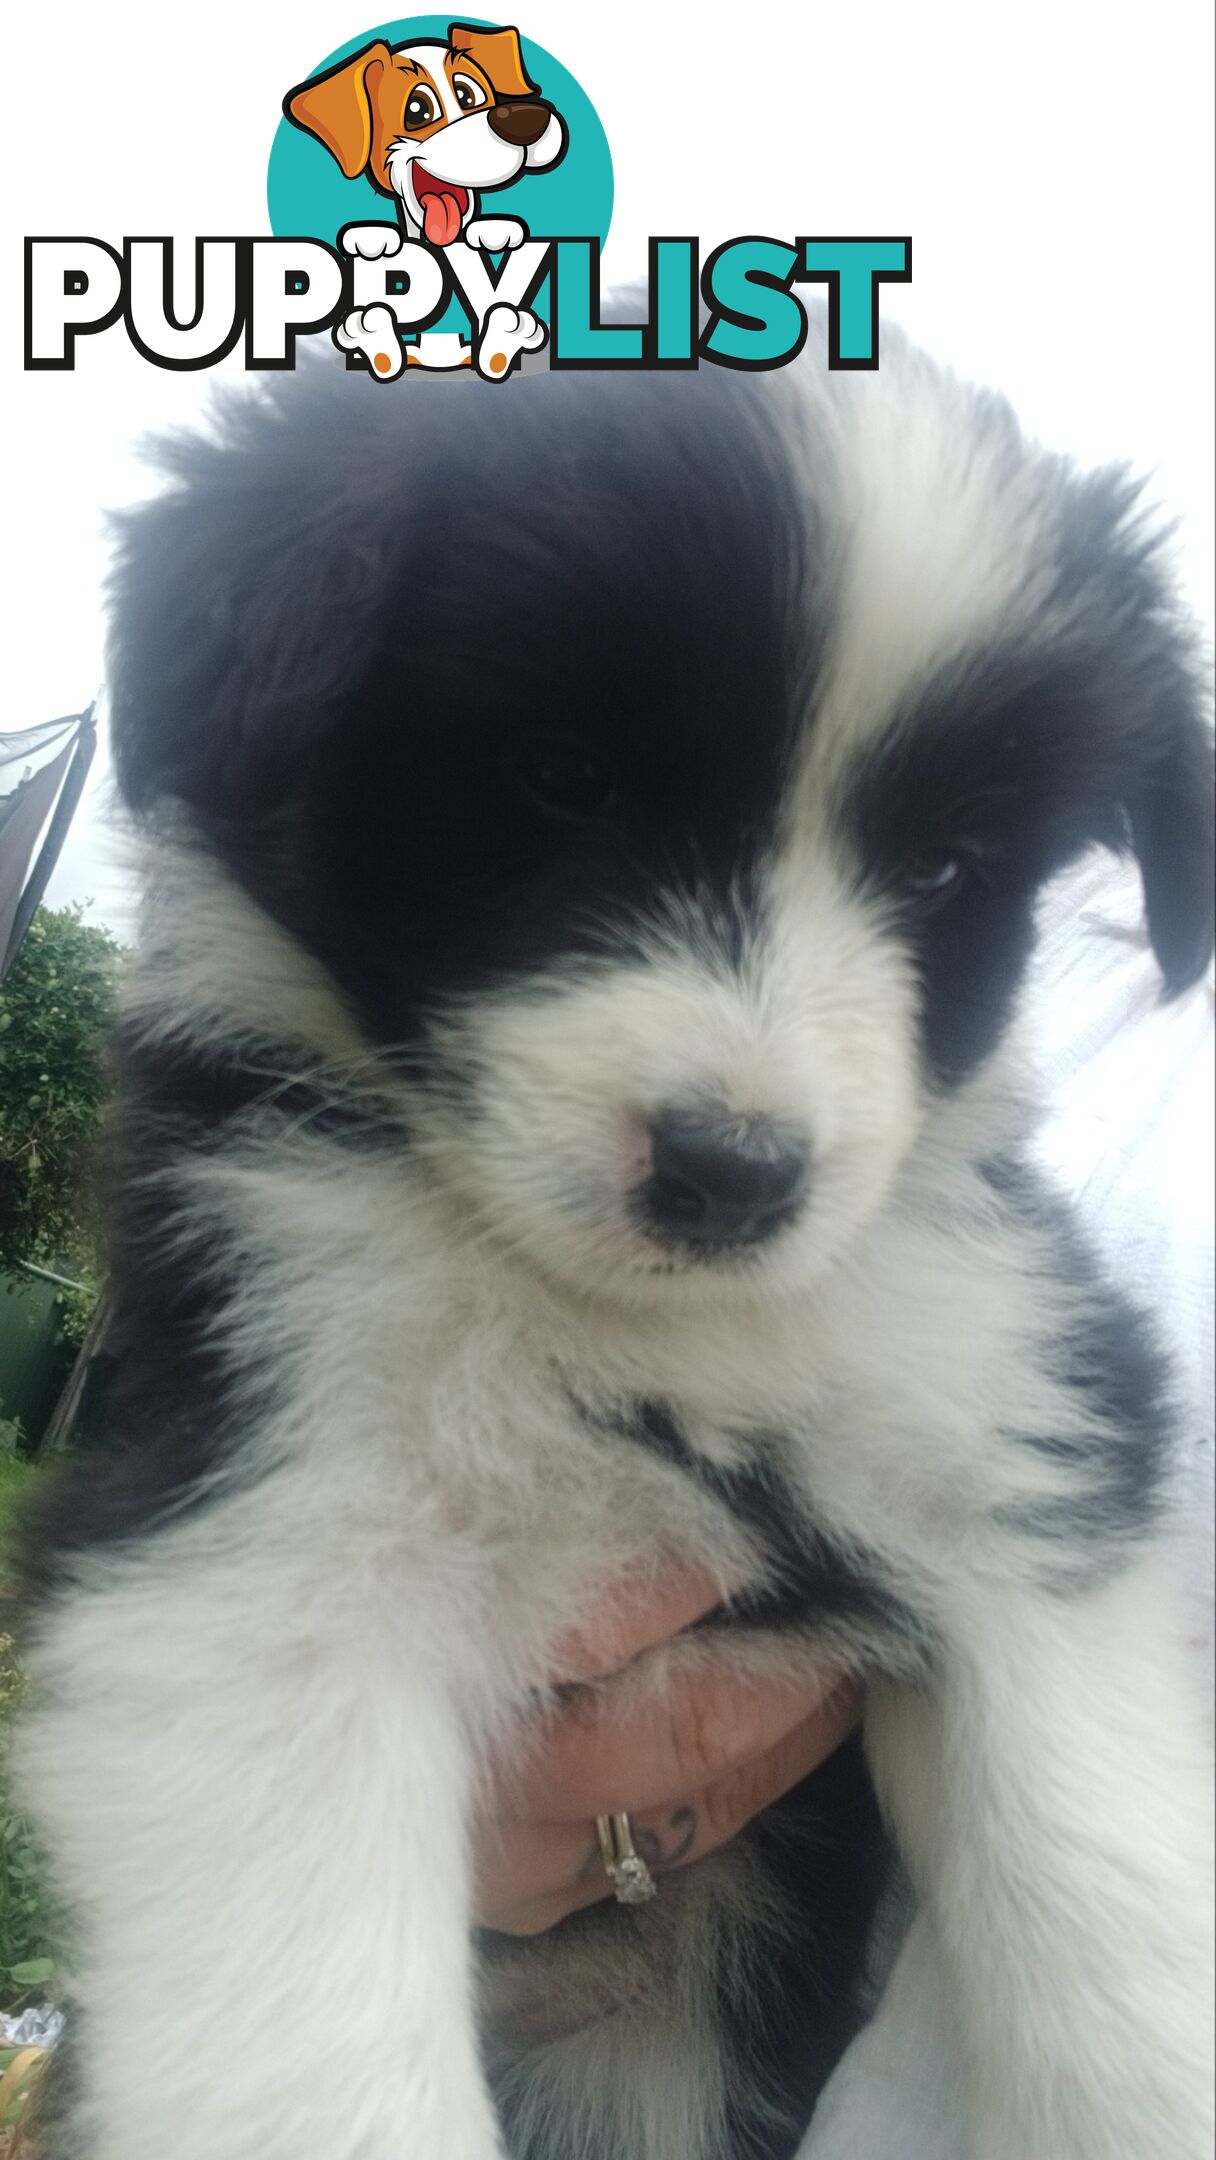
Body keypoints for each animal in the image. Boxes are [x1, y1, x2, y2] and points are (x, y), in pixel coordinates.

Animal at [11, 324, 1216, 2160]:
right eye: (565, 777)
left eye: (946, 869)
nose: (734, 1174)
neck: (636, 1318)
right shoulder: (257, 1533)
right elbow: (322, 2069)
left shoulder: (1012, 1443)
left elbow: (1113, 1920)